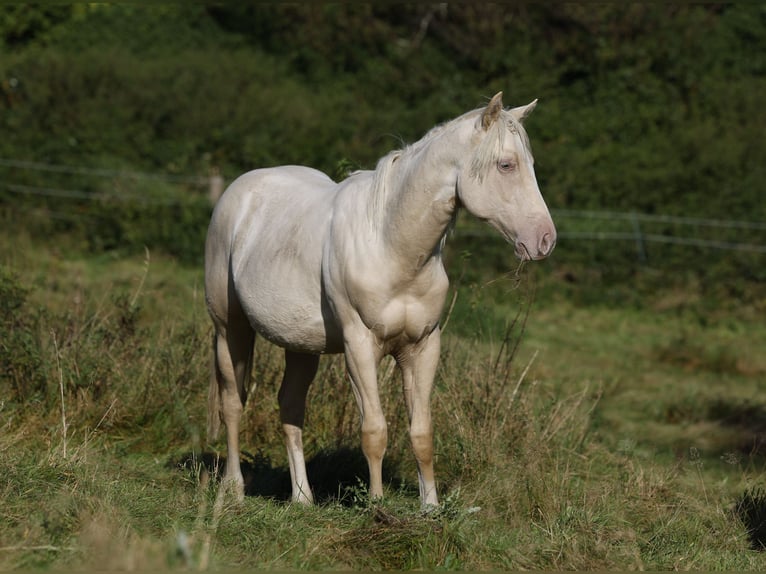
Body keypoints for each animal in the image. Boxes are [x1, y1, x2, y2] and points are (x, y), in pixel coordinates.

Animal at [204, 92, 560, 510]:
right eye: (506, 165)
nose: (545, 239)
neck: (391, 245)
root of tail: (239, 192)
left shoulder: (422, 347)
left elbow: (421, 433)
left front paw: (430, 507)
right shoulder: (360, 346)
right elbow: (374, 430)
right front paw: (376, 506)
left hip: (301, 345)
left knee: (290, 407)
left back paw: (303, 498)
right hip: (230, 329)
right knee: (232, 403)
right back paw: (234, 491)